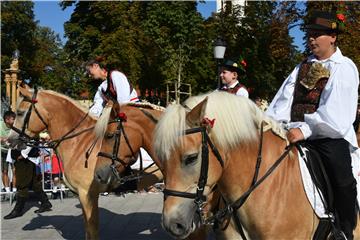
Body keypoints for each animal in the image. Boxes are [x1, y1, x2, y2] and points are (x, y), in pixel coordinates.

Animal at [9, 85, 111, 239]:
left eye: (20, 113)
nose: (9, 141)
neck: (81, 142)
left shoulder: (87, 194)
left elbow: (92, 228)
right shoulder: (83, 196)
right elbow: (88, 228)